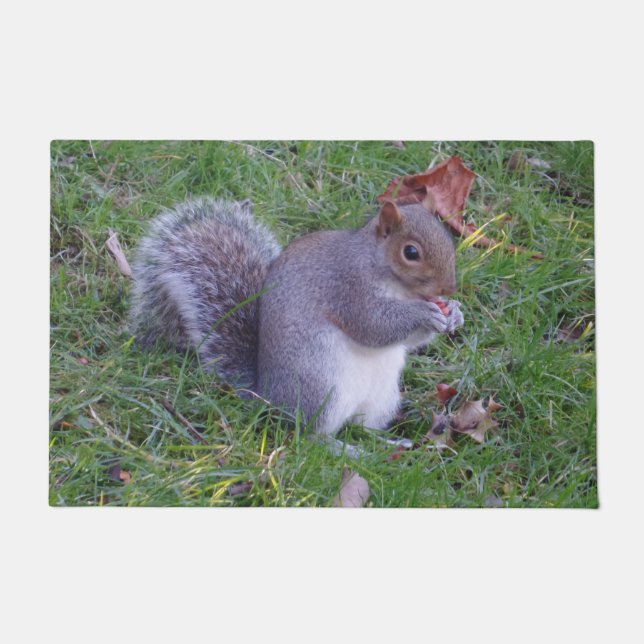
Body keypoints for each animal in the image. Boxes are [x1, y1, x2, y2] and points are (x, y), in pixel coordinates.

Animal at [129, 197, 464, 449]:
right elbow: (374, 326)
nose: (449, 289)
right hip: (320, 390)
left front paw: (454, 312)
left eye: (447, 237)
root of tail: (268, 397)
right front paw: (423, 313)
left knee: (362, 427)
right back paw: (346, 450)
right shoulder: (348, 289)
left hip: (382, 399)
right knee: (310, 436)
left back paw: (387, 445)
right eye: (411, 252)